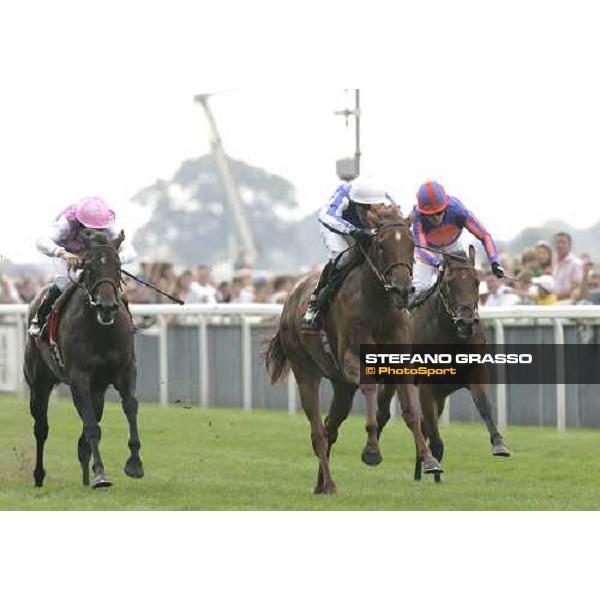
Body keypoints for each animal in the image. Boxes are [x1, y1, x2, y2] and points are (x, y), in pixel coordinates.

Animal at [24, 229, 145, 488]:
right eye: (89, 266)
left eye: (118, 266)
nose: (107, 306)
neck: (101, 331)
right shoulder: (79, 378)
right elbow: (91, 427)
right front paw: (100, 474)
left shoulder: (126, 370)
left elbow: (129, 406)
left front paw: (134, 463)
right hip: (39, 382)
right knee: (41, 428)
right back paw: (39, 476)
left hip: (97, 390)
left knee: (84, 435)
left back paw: (85, 479)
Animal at [264, 204, 442, 494]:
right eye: (381, 245)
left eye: (411, 245)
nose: (402, 290)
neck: (378, 306)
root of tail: (291, 297)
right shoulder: (351, 359)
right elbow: (369, 388)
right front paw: (371, 451)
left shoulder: (400, 361)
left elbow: (411, 412)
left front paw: (429, 460)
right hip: (305, 371)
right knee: (317, 431)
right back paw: (330, 483)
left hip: (342, 387)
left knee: (330, 428)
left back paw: (321, 485)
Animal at [376, 244, 506, 482]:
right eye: (448, 284)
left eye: (476, 282)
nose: (466, 322)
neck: (453, 337)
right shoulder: (428, 386)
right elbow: (434, 437)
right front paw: (434, 470)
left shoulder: (475, 374)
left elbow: (483, 405)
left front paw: (499, 443)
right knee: (384, 413)